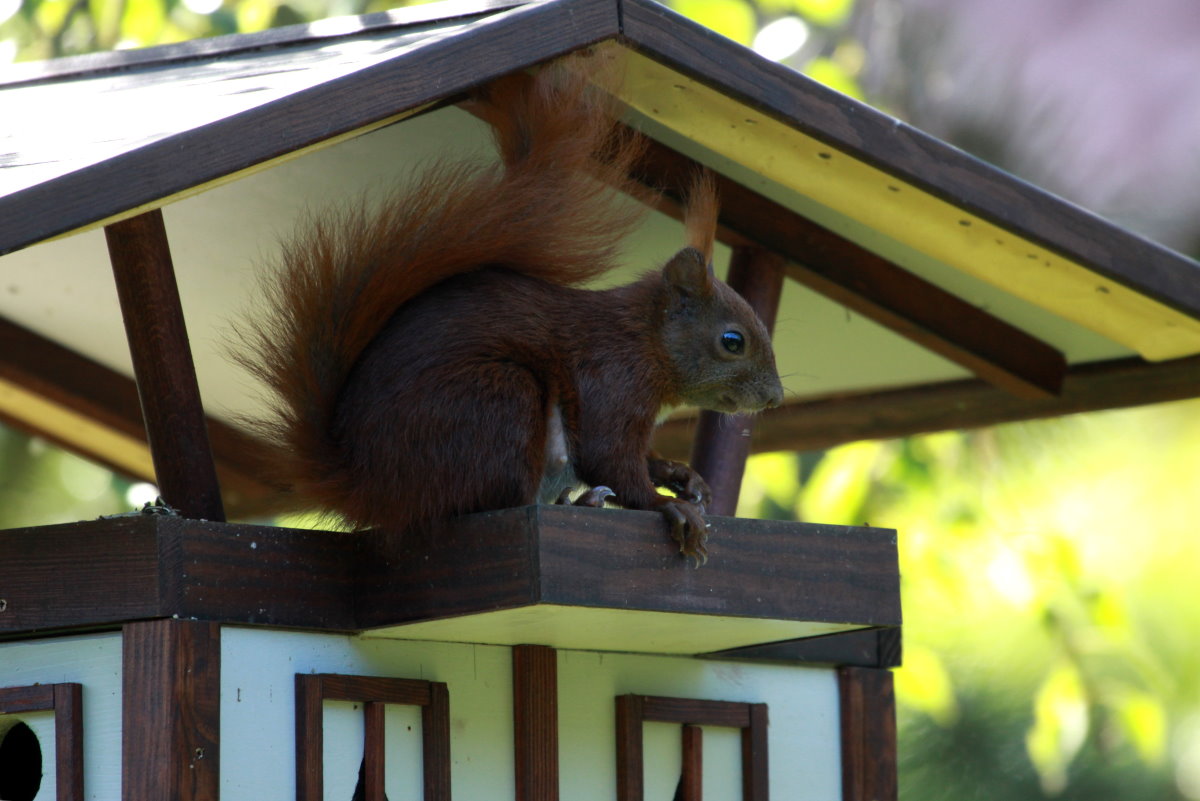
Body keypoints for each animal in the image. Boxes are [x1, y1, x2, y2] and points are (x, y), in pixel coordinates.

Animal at [241, 57, 787, 563]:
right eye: (732, 341)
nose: (775, 398)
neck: (644, 338)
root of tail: (364, 484)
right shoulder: (612, 379)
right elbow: (611, 457)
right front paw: (666, 506)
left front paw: (683, 476)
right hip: (497, 401)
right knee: (500, 500)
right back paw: (579, 503)